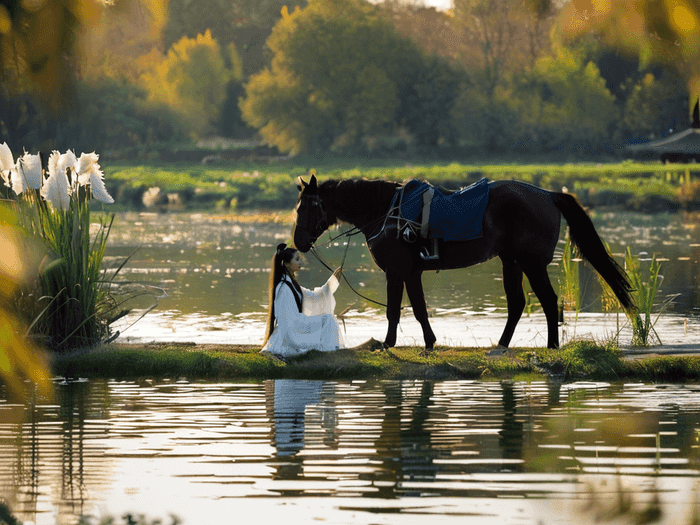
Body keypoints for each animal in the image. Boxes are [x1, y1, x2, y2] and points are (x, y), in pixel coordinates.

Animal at [292, 174, 636, 350]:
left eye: (305, 207)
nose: (298, 242)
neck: (387, 211)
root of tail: (548, 194)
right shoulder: (412, 272)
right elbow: (418, 310)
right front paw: (430, 342)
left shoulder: (396, 271)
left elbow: (393, 311)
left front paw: (388, 343)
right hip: (511, 261)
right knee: (517, 304)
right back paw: (501, 344)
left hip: (531, 263)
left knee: (549, 302)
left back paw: (552, 346)